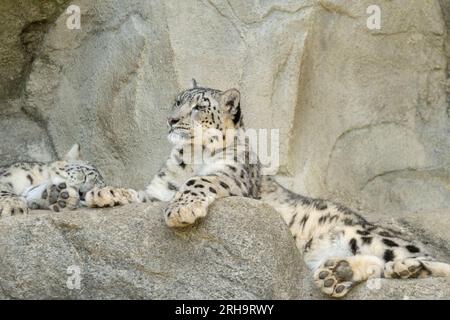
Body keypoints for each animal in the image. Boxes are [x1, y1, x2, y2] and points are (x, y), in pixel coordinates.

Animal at [83, 80, 450, 300]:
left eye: (199, 107)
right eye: (176, 101)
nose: (171, 120)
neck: (188, 156)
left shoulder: (230, 176)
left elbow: (197, 182)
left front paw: (181, 209)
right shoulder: (159, 188)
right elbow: (140, 193)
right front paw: (102, 193)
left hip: (366, 234)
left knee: (431, 261)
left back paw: (403, 268)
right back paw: (337, 274)